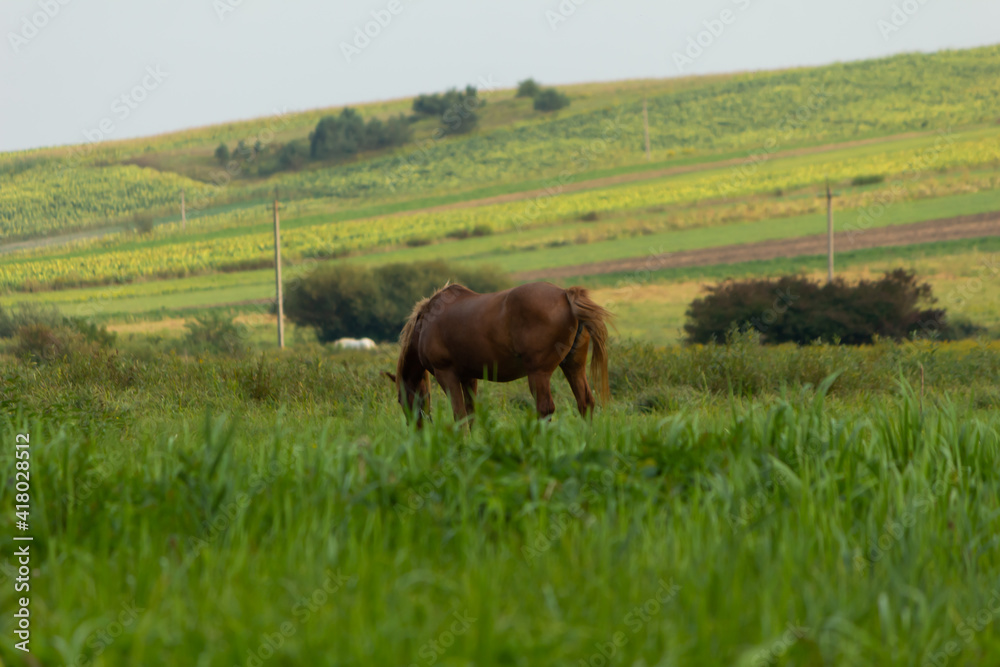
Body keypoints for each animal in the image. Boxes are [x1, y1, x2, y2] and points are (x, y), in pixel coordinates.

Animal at [386, 282, 612, 422]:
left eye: (400, 399)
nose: (416, 428)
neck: (425, 324)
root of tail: (565, 294)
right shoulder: (468, 377)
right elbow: (470, 413)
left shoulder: (446, 375)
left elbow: (460, 415)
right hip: (573, 367)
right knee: (585, 403)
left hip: (539, 374)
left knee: (545, 409)